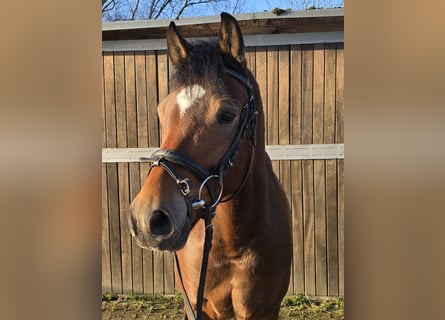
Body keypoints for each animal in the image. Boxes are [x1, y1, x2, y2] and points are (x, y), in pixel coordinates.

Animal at [128, 12, 292, 320]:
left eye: (227, 115)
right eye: (161, 111)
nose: (147, 218)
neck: (232, 246)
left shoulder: (265, 310)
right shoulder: (196, 306)